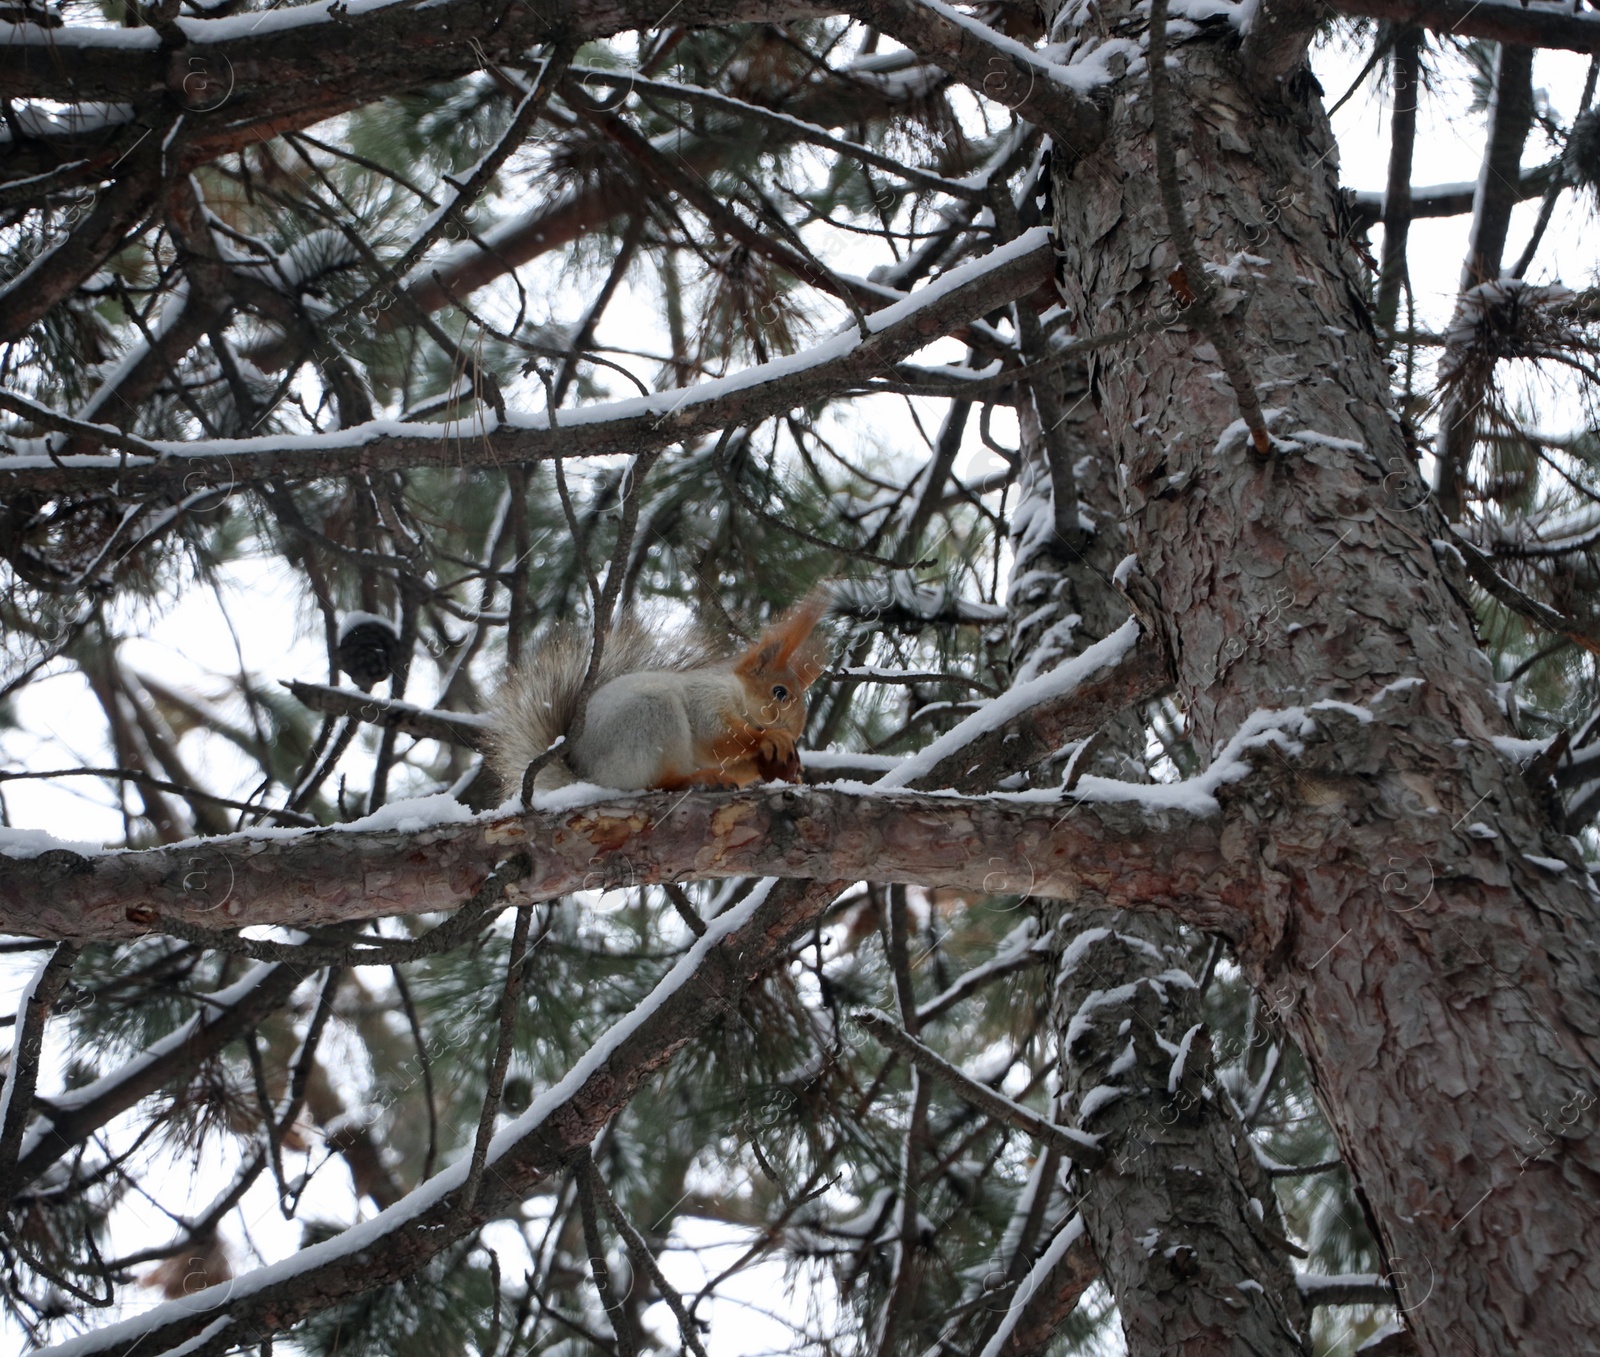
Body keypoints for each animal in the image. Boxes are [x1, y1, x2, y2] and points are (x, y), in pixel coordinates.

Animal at [489, 595, 832, 793]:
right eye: (780, 692)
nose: (794, 732)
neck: (735, 692)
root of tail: (590, 777)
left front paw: (788, 771)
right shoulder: (706, 698)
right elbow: (716, 739)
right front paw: (769, 738)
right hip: (653, 716)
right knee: (660, 782)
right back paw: (697, 780)